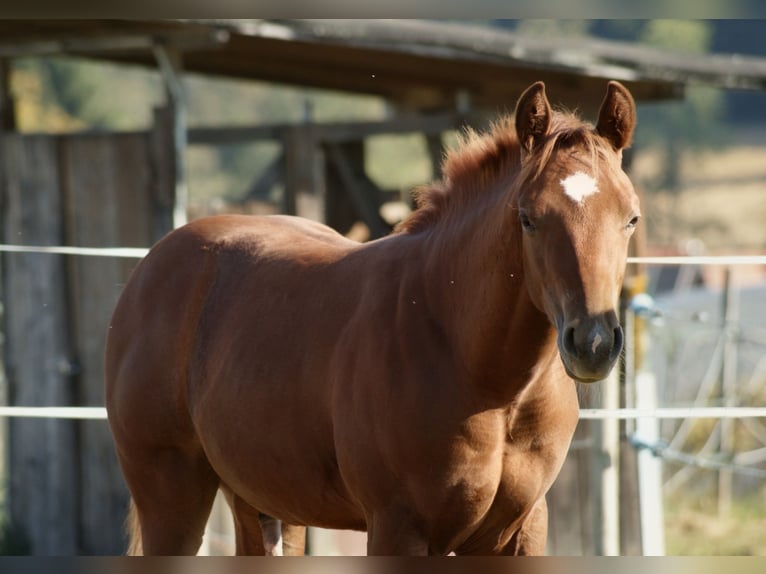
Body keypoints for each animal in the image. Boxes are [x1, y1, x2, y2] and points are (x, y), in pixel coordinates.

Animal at [105, 80, 639, 556]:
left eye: (630, 218)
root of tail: (150, 268)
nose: (593, 342)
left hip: (265, 504)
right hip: (171, 502)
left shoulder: (519, 533)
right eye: (528, 217)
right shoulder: (398, 530)